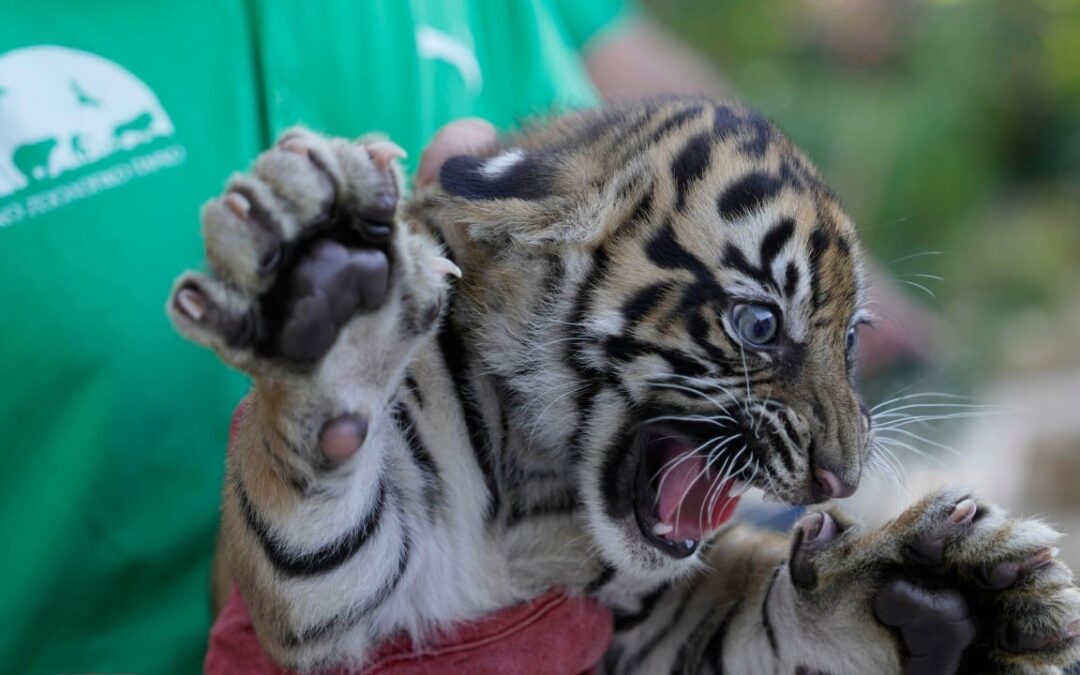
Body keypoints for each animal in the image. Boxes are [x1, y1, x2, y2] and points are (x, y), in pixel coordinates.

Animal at [167, 97, 1080, 674]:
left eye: (852, 337)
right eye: (760, 324)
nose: (843, 477)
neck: (535, 497)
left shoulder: (646, 627)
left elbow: (769, 623)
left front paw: (946, 594)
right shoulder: (327, 593)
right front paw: (326, 277)